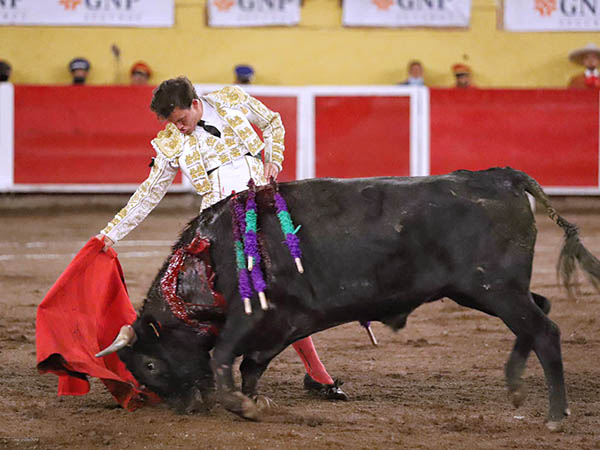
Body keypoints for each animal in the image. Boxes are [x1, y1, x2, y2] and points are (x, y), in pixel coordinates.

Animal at [97, 167, 600, 431]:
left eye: (149, 364)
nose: (184, 408)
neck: (209, 258)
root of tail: (502, 177)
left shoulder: (256, 316)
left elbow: (224, 355)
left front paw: (240, 405)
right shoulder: (285, 323)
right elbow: (252, 364)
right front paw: (253, 401)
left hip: (494, 289)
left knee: (545, 329)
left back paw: (555, 415)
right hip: (485, 291)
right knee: (540, 311)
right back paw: (515, 386)